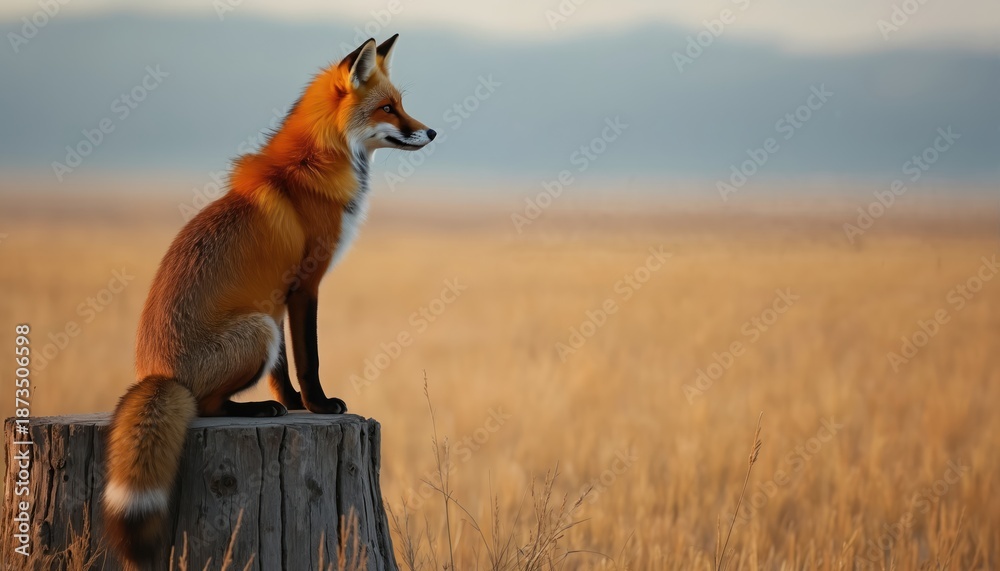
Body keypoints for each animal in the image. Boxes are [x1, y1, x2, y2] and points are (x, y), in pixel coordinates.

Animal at [101, 34, 436, 568]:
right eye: (388, 108)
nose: (432, 131)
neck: (312, 165)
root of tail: (156, 374)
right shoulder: (305, 286)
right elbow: (309, 359)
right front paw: (319, 406)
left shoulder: (278, 297)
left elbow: (284, 372)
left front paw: (296, 404)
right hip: (257, 329)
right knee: (205, 407)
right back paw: (256, 410)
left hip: (262, 323)